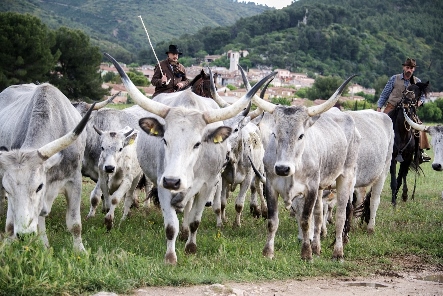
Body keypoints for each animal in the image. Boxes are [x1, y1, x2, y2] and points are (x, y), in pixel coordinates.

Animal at [0, 82, 93, 250]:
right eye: (8, 190)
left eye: (39, 186)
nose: (24, 235)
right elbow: (12, 225)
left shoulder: (74, 180)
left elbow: (75, 224)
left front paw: (80, 250)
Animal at [105, 52, 276, 264]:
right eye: (165, 140)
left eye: (197, 143)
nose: (173, 180)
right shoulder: (163, 184)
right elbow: (171, 226)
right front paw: (170, 257)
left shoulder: (211, 183)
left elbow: (200, 218)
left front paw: (191, 246)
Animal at [253, 75, 360, 260]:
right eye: (275, 134)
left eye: (301, 135)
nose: (282, 169)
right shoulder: (271, 186)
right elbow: (272, 221)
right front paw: (268, 252)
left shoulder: (310, 188)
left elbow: (304, 220)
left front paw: (306, 253)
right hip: (321, 186)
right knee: (318, 216)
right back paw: (317, 246)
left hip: (346, 176)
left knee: (340, 215)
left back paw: (338, 252)